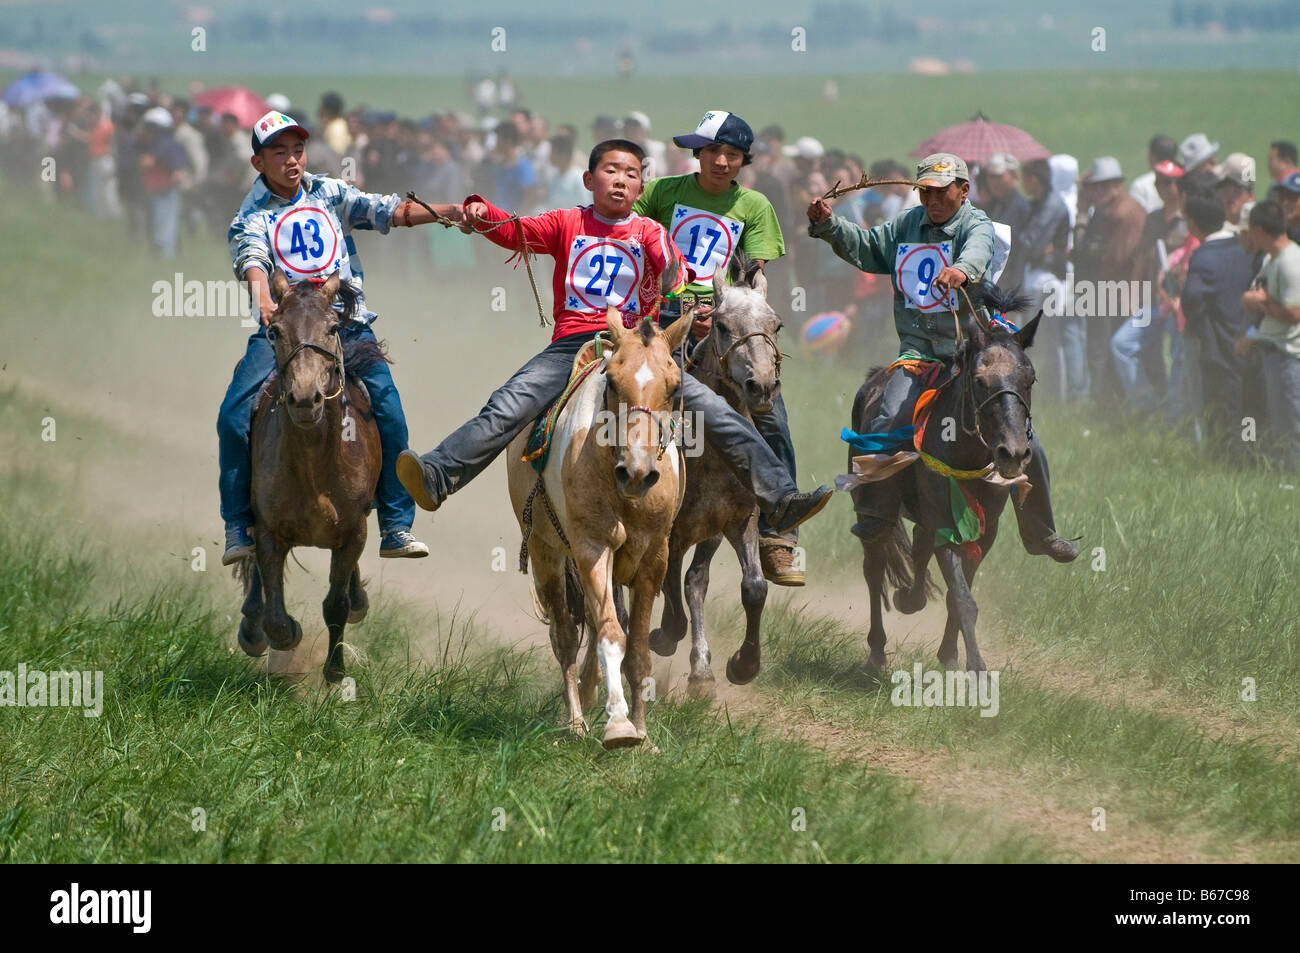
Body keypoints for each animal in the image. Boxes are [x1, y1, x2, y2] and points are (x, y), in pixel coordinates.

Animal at [236, 269, 382, 686]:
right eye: (275, 331)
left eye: (333, 327)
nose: (304, 399)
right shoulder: (269, 531)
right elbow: (276, 619)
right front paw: (284, 634)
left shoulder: (353, 532)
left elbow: (337, 604)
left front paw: (335, 671)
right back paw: (251, 629)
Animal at [504, 308, 696, 748]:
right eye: (611, 381)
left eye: (675, 385)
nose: (638, 473)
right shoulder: (592, 547)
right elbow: (611, 634)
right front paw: (619, 726)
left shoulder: (654, 557)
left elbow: (638, 648)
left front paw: (642, 732)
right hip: (546, 552)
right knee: (565, 636)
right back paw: (577, 721)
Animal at [647, 250, 780, 696]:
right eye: (721, 325)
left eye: (775, 325)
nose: (762, 386)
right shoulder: (670, 530)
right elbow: (670, 591)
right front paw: (665, 635)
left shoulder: (737, 520)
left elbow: (751, 588)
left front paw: (742, 665)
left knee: (695, 580)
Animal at [847, 286, 1040, 670]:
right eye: (980, 381)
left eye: (1029, 380)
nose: (1013, 453)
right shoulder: (945, 527)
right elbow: (962, 597)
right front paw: (977, 669)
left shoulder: (984, 531)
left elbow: (957, 594)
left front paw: (950, 655)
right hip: (873, 515)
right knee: (874, 568)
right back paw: (877, 650)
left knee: (916, 550)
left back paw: (909, 599)